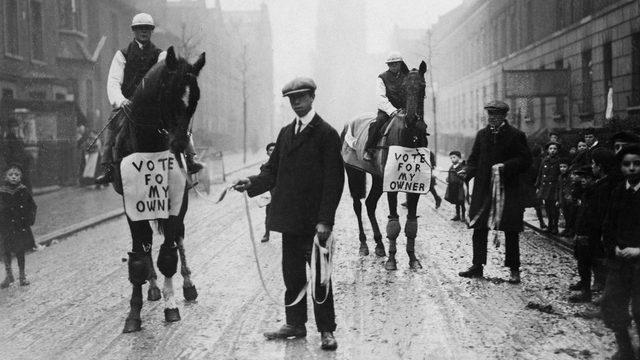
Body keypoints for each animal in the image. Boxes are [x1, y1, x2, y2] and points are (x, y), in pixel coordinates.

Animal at [112, 46, 205, 334]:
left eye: (195, 100)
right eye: (169, 94)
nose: (180, 146)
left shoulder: (176, 203)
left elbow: (168, 254)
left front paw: (171, 304)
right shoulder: (133, 208)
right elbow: (138, 258)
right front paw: (134, 313)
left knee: (178, 241)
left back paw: (187, 285)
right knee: (147, 245)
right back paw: (152, 286)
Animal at [340, 60, 430, 270]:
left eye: (422, 86)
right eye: (404, 87)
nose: (412, 119)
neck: (409, 137)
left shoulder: (414, 185)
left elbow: (411, 222)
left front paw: (412, 258)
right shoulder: (392, 185)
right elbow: (394, 222)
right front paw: (392, 259)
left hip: (377, 178)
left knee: (370, 204)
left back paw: (379, 244)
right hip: (353, 172)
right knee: (358, 205)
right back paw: (364, 244)